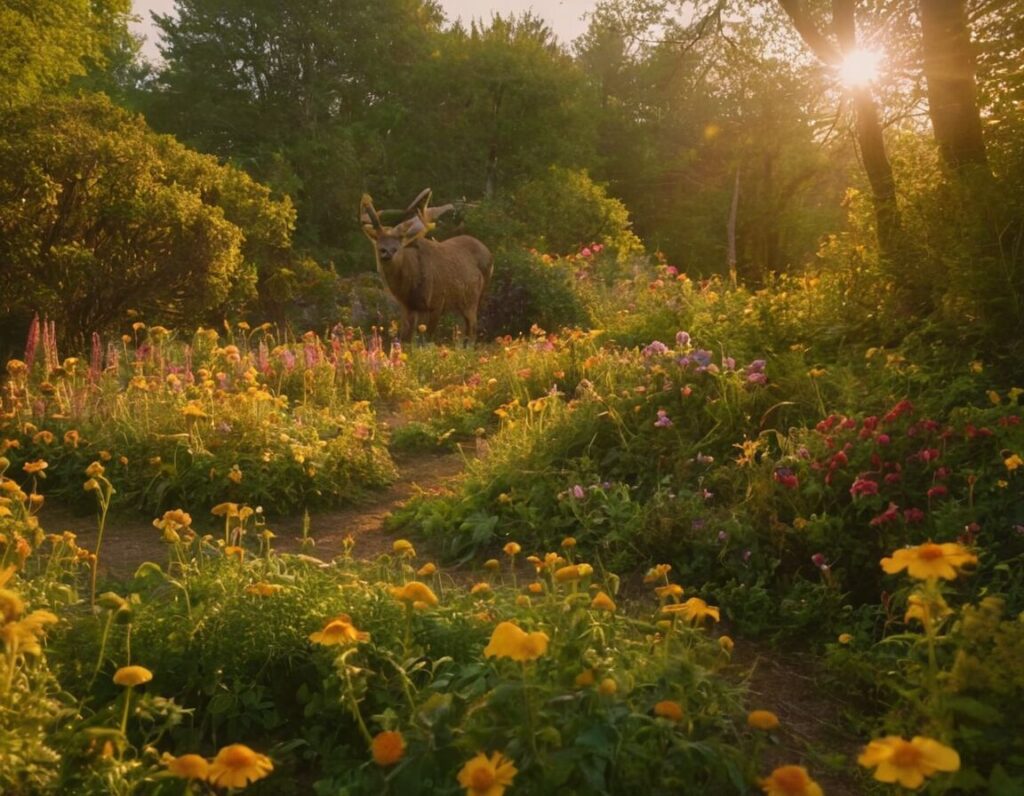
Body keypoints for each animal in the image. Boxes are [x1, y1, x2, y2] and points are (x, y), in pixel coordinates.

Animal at [362, 191, 493, 344]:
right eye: (378, 240)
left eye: (398, 245)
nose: (386, 251)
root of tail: (488, 252)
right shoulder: (407, 306)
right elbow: (406, 338)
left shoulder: (437, 302)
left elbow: (427, 339)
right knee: (463, 331)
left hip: (473, 299)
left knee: (472, 329)